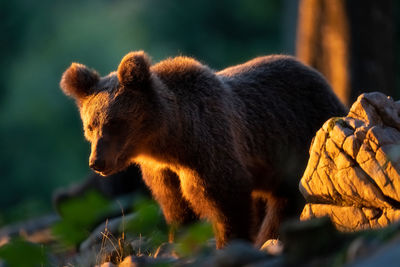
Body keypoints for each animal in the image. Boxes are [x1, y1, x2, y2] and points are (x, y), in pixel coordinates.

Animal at [60, 51, 346, 249]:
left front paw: (228, 242)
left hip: (301, 143)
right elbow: (176, 207)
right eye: (90, 126)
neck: (170, 141)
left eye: (115, 123)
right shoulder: (163, 173)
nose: (97, 162)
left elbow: (227, 199)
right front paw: (176, 240)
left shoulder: (210, 150)